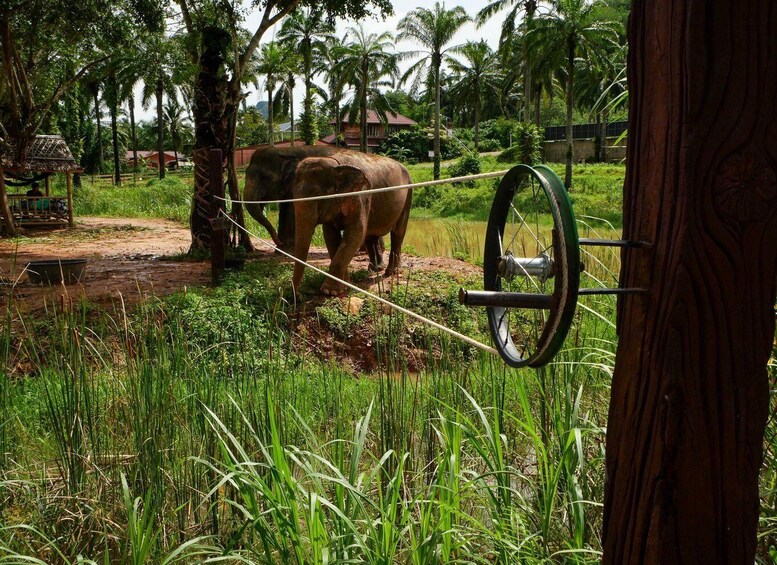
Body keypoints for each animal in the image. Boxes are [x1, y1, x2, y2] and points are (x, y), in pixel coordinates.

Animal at [243, 145, 386, 268]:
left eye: (265, 178)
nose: (280, 243)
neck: (285, 150)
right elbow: (284, 209)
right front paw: (282, 250)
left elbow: (291, 213)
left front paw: (287, 249)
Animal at [290, 153, 413, 296]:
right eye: (292, 194)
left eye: (318, 196)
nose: (298, 295)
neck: (334, 163)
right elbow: (331, 236)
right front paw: (344, 285)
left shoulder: (360, 195)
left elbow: (356, 232)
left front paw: (329, 291)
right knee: (370, 234)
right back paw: (375, 269)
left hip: (408, 195)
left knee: (397, 233)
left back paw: (390, 272)